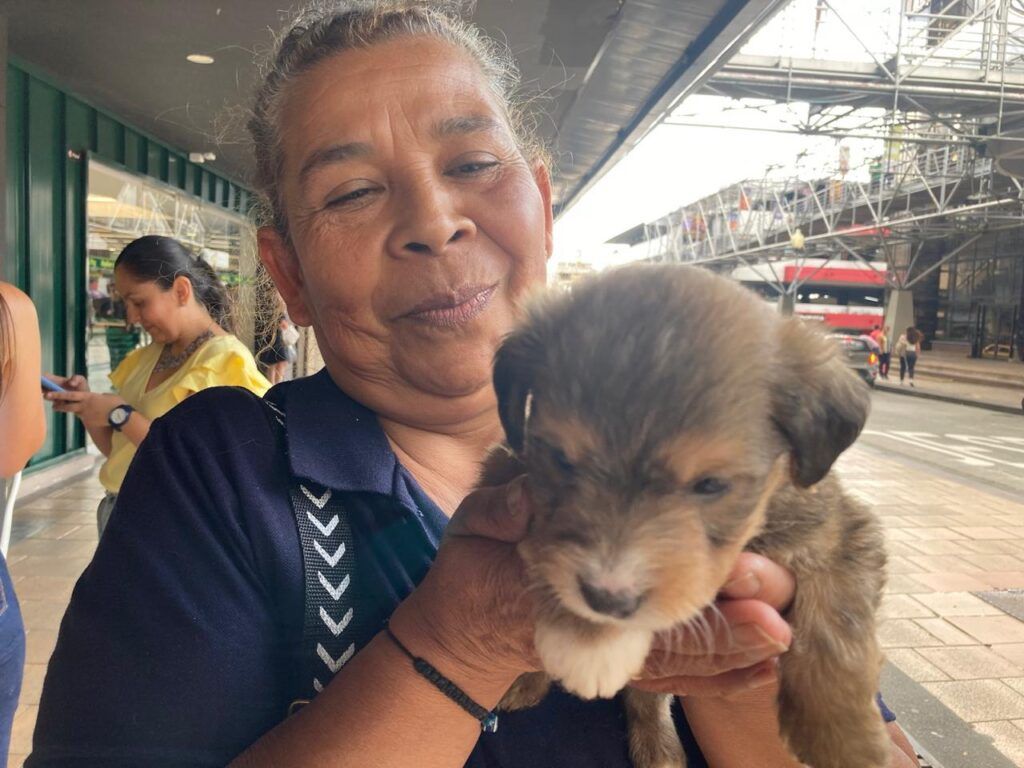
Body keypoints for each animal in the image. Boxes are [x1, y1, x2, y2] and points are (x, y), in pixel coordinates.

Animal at [483, 266, 892, 768]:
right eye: (560, 459)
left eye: (711, 485)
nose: (608, 599)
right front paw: (587, 641)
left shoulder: (840, 529)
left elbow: (838, 628)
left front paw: (845, 742)